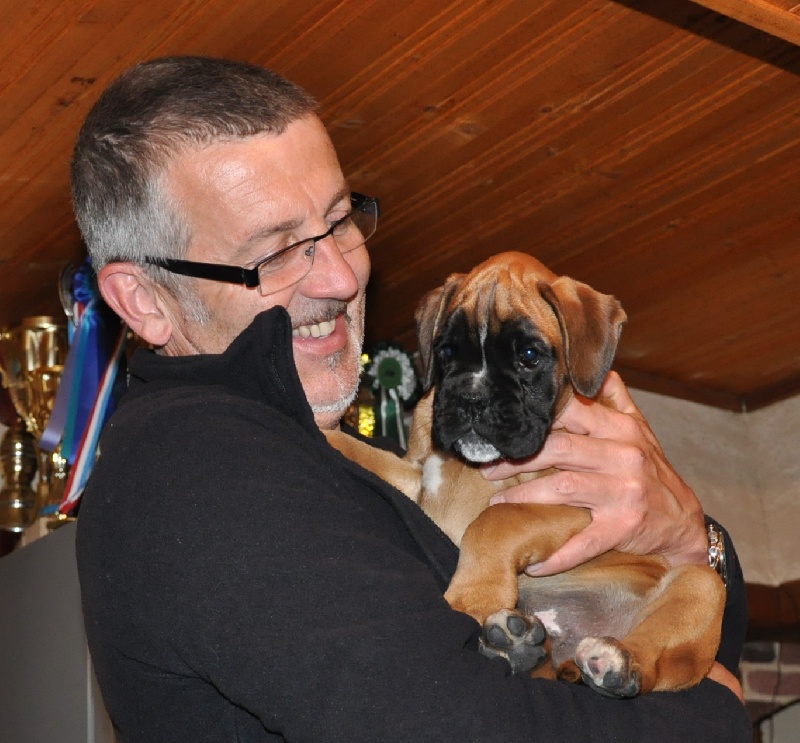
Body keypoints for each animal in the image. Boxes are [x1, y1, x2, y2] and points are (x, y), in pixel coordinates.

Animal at [327, 251, 724, 697]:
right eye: (446, 351)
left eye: (530, 356)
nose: (470, 398)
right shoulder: (418, 480)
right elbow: (368, 455)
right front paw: (323, 430)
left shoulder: (583, 502)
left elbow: (496, 520)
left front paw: (471, 600)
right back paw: (519, 645)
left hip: (701, 586)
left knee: (656, 665)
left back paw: (617, 661)